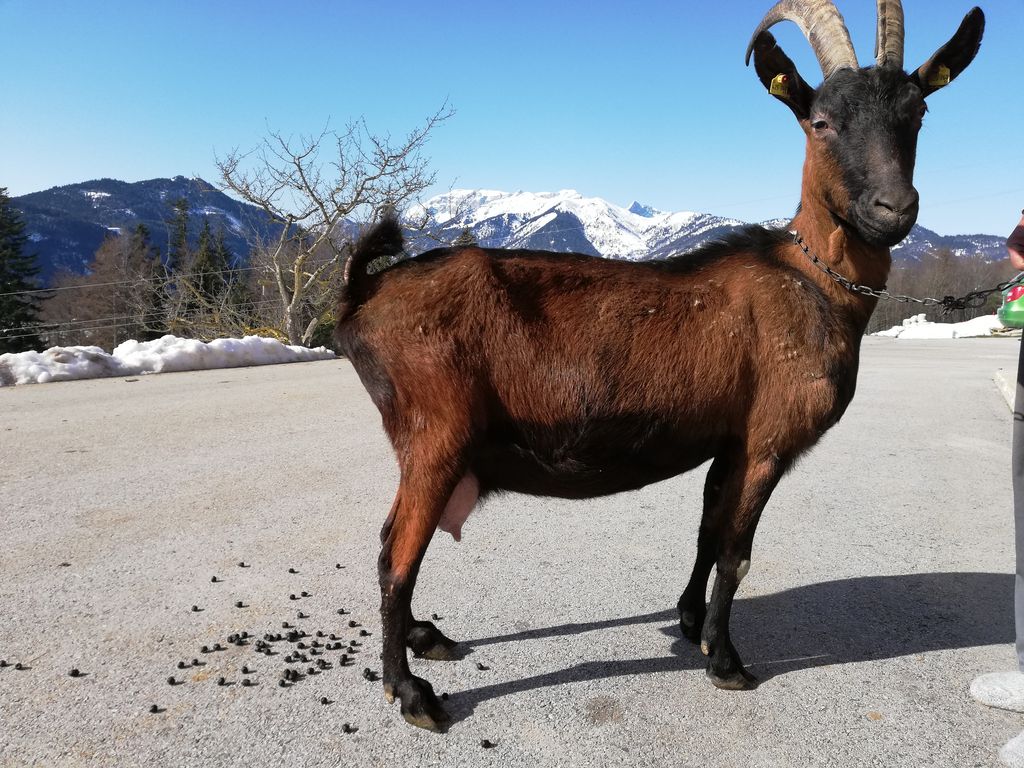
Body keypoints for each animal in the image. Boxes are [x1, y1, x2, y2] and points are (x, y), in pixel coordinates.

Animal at [333, 0, 983, 733]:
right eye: (821, 121)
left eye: (919, 112)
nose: (893, 209)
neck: (812, 280)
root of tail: (364, 293)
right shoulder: (768, 439)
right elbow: (736, 551)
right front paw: (726, 662)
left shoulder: (730, 439)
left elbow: (706, 532)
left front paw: (691, 623)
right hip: (436, 434)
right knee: (395, 555)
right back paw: (411, 691)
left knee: (395, 544)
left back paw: (426, 638)